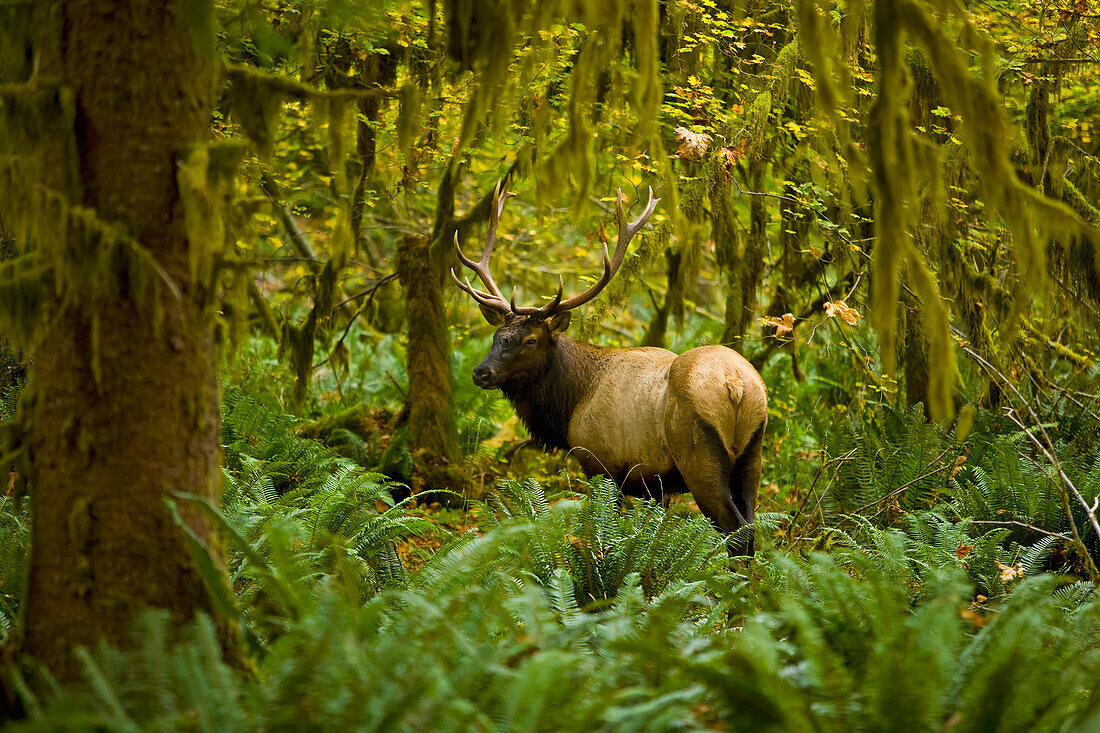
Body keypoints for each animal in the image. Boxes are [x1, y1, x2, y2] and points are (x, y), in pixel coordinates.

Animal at [451, 179, 770, 550]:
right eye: (497, 335)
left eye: (530, 340)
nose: (481, 372)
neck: (572, 403)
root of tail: (736, 386)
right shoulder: (653, 484)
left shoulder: (600, 462)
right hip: (752, 453)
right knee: (751, 527)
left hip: (700, 455)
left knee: (735, 531)